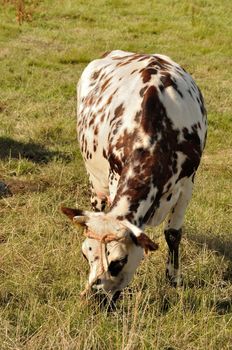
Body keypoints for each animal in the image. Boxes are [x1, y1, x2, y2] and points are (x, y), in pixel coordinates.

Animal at [61, 49, 207, 304]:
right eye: (84, 255)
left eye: (118, 262)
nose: (94, 298)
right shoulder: (114, 175)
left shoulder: (187, 184)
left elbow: (173, 234)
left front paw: (174, 279)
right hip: (94, 176)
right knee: (98, 203)